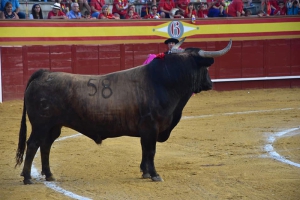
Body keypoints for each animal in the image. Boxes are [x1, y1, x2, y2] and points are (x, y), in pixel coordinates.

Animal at [15, 41, 232, 184]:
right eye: (204, 68)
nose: (210, 84)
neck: (163, 81)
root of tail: (44, 73)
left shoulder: (146, 130)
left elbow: (145, 150)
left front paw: (145, 172)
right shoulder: (151, 126)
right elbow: (151, 151)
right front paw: (154, 174)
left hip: (54, 126)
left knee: (45, 146)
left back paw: (49, 174)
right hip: (41, 124)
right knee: (33, 145)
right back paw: (27, 178)